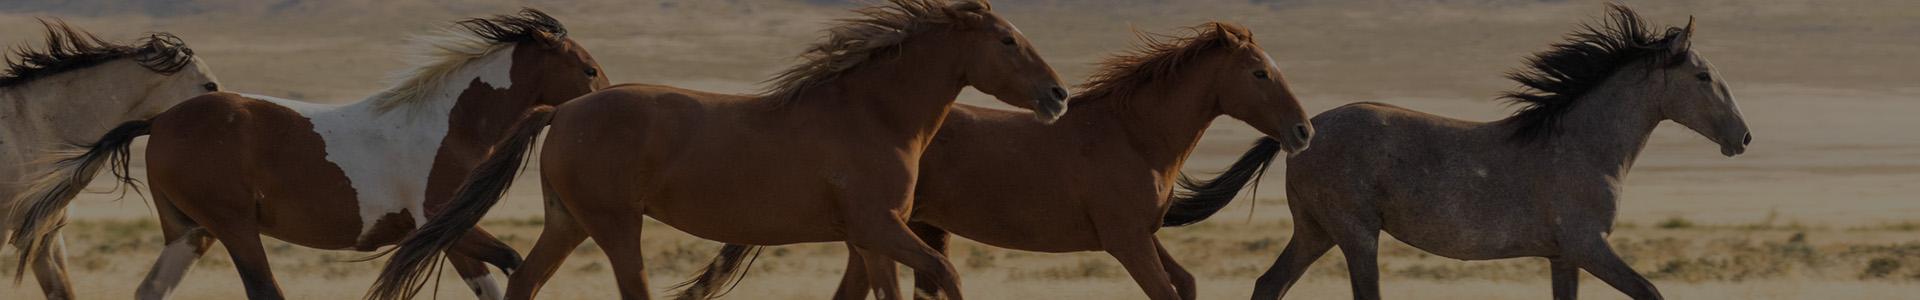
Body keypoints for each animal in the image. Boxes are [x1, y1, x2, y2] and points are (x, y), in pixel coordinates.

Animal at [366, 0, 1075, 300]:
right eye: (1008, 41)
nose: (1059, 95)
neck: (873, 114)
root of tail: (563, 108)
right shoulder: (880, 228)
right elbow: (945, 274)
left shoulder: (869, 238)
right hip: (616, 225)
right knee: (630, 290)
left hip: (568, 222)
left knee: (525, 283)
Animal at [687, 21, 1320, 300]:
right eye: (1259, 74)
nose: (1303, 131)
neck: (1132, 135)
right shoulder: (1125, 241)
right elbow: (1167, 291)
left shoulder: (1143, 234)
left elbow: (1185, 284)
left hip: (889, 234)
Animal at [1159, 4, 1751, 300]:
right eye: (1703, 77)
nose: (1743, 138)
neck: (1584, 146)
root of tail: (1303, 130)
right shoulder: (1590, 246)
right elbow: (1651, 292)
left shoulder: (1564, 255)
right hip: (1356, 234)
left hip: (1315, 232)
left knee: (1268, 285)